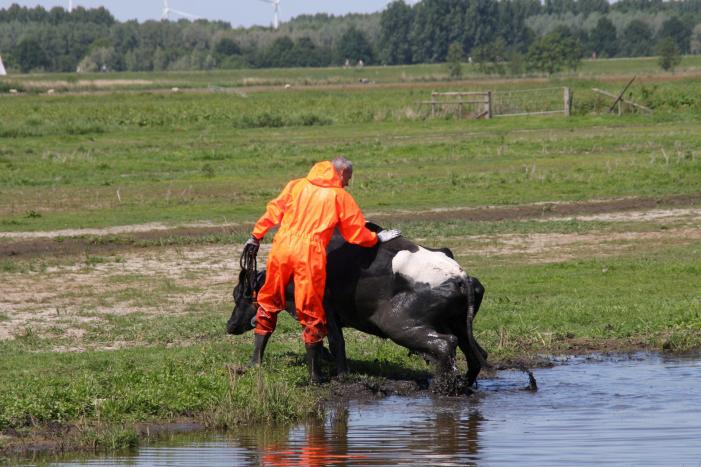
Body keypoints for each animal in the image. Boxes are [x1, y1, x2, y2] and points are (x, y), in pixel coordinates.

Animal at [227, 224, 488, 387]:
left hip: (397, 324)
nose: (230, 325)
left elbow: (334, 342)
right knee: (476, 353)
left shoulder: (324, 310)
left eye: (239, 295)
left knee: (445, 345)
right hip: (459, 325)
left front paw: (340, 376)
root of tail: (460, 276)